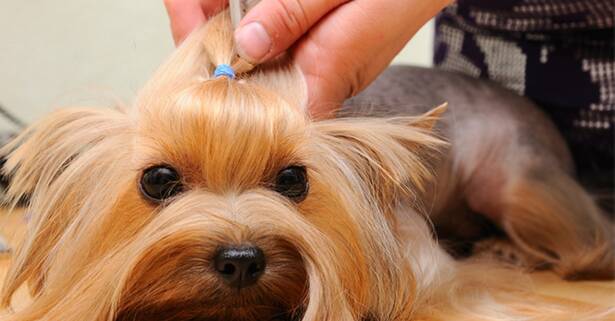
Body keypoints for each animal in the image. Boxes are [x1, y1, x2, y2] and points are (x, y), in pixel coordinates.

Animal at [0, 10, 612, 320]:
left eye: (292, 180)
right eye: (159, 180)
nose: (241, 260)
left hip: (513, 178)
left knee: (586, 235)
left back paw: (515, 248)